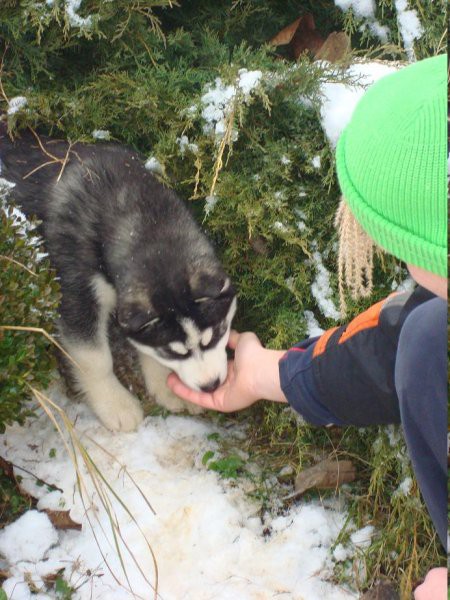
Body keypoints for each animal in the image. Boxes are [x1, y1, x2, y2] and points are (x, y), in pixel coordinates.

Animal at [0, 127, 237, 432]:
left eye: (217, 334)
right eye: (174, 352)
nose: (211, 386)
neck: (141, 218)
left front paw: (165, 386)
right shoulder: (77, 291)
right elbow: (94, 359)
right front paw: (116, 404)